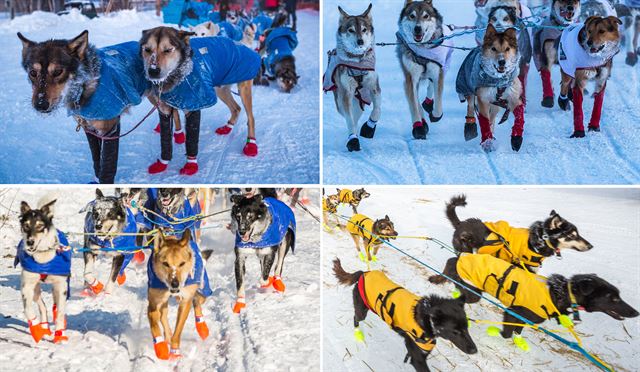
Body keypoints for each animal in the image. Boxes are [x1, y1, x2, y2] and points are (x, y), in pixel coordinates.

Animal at [336, 258, 476, 372]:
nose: (475, 350)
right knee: (356, 318)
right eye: (455, 331)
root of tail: (363, 273)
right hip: (362, 310)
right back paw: (358, 332)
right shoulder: (418, 358)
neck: (425, 318)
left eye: (467, 328)